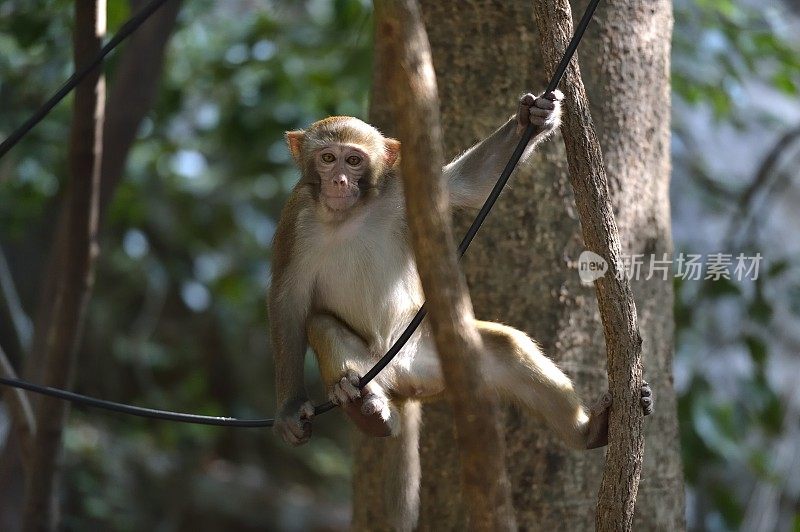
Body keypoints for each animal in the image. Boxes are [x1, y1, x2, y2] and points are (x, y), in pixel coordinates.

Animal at [268, 90, 648, 520]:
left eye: (354, 160)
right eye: (328, 158)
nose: (339, 181)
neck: (348, 214)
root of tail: (401, 382)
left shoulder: (401, 190)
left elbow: (469, 185)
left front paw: (534, 117)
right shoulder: (295, 221)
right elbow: (289, 302)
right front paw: (289, 408)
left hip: (432, 364)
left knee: (507, 348)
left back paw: (590, 431)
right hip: (379, 368)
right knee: (321, 324)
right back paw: (361, 403)